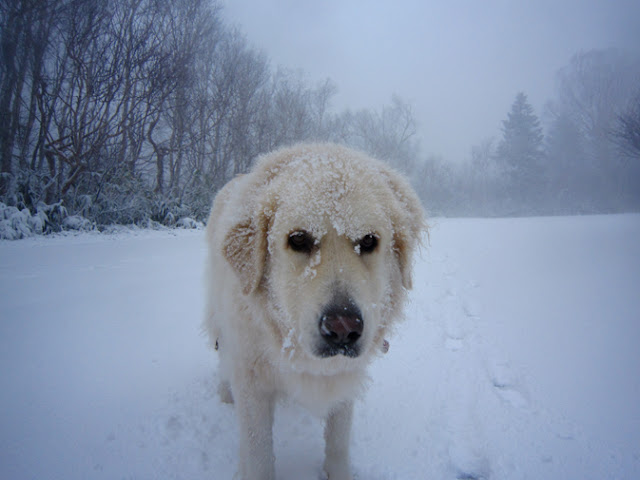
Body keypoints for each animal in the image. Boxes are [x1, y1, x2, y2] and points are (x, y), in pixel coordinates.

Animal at [205, 143, 424, 480]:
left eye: (369, 241)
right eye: (298, 239)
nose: (343, 328)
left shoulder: (343, 376)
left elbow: (337, 441)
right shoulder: (253, 384)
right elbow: (259, 453)